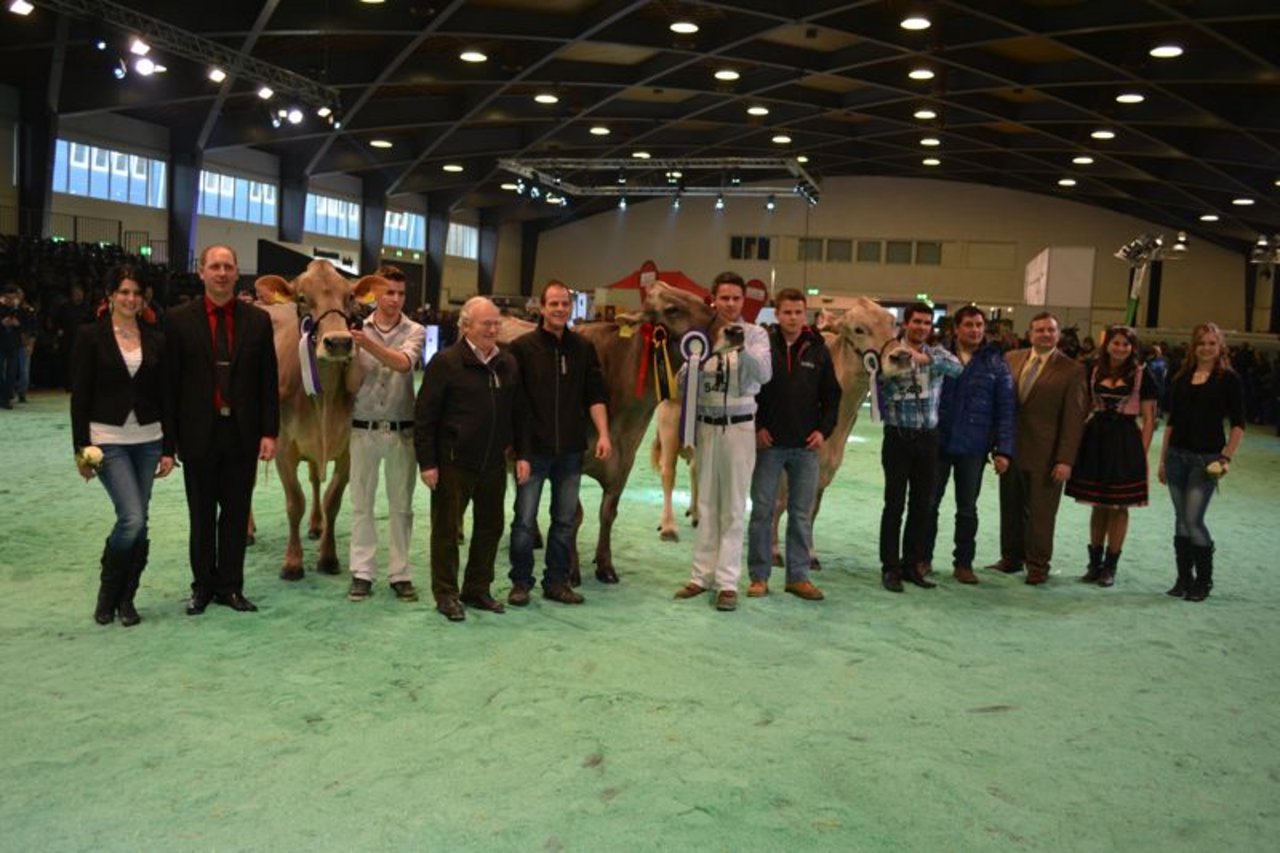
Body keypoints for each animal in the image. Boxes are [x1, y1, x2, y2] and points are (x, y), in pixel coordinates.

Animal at [254, 258, 384, 578]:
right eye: (302, 298)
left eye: (349, 297)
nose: (338, 342)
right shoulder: (283, 447)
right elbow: (294, 502)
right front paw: (292, 562)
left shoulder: (349, 448)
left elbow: (332, 500)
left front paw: (328, 557)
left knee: (314, 479)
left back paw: (315, 525)